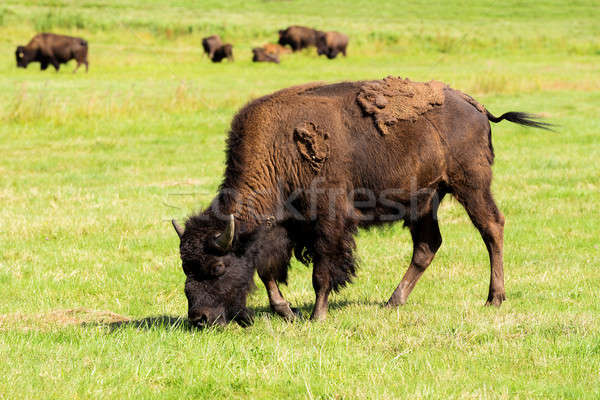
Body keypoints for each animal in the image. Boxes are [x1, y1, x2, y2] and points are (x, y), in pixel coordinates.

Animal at [171, 76, 552, 326]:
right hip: (425, 200)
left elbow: (323, 271)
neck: (278, 150)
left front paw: (317, 316)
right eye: (185, 267)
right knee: (427, 246)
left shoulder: (330, 220)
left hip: (470, 185)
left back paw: (494, 299)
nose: (199, 318)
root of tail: (477, 106)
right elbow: (267, 270)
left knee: (492, 228)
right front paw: (287, 311)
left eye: (218, 267)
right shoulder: (283, 227)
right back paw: (392, 302)